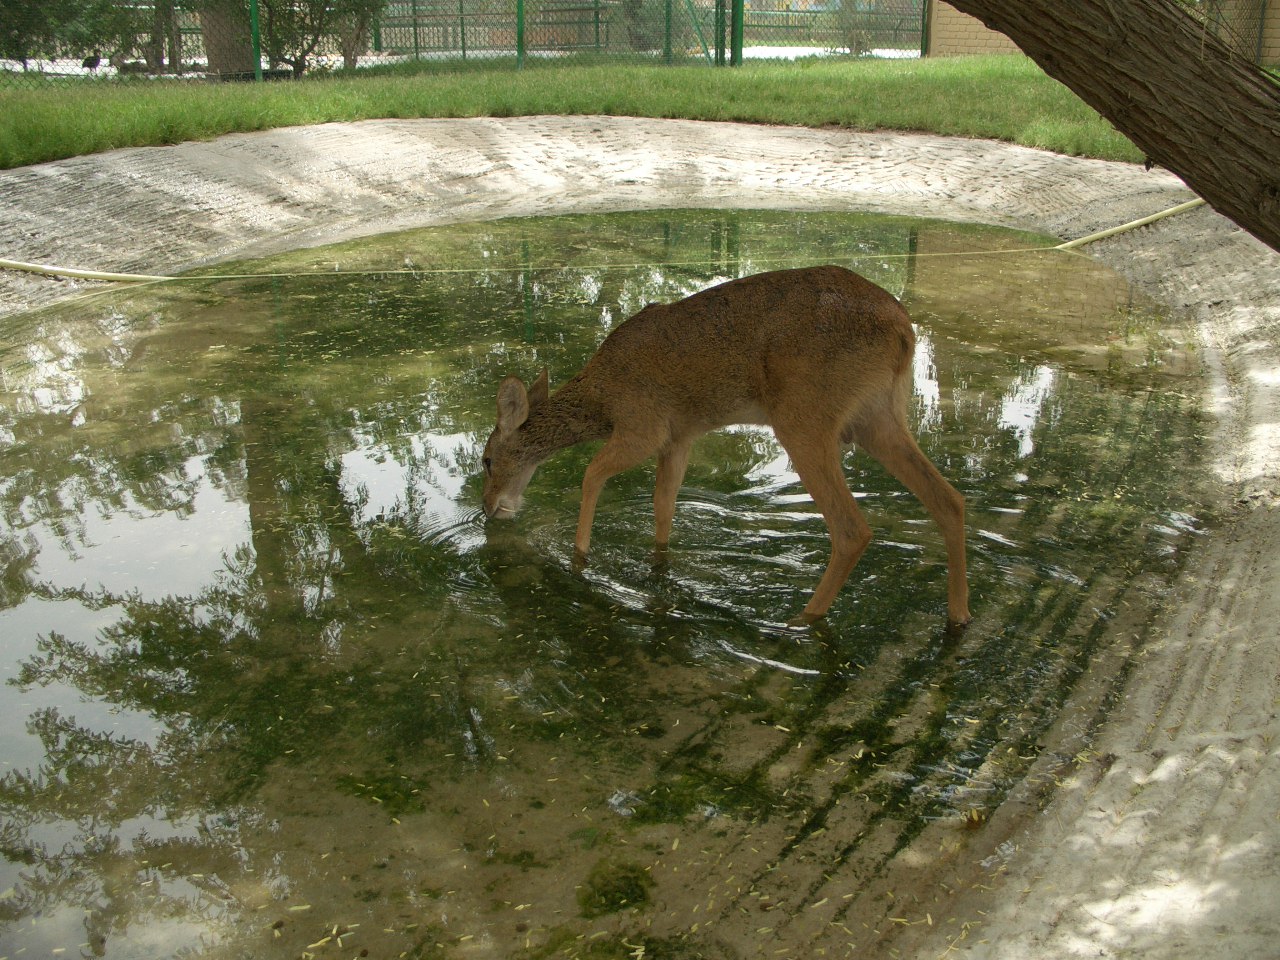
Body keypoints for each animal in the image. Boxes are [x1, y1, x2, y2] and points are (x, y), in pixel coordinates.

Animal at [480, 265, 970, 627]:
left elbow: (590, 475)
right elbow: (663, 504)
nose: (488, 508)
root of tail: (904, 330)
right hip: (878, 417)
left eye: (486, 461)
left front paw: (579, 560)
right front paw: (658, 566)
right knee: (949, 499)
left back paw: (801, 619)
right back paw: (959, 614)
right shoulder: (678, 437)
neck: (600, 398)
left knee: (852, 529)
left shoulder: (643, 426)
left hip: (804, 418)